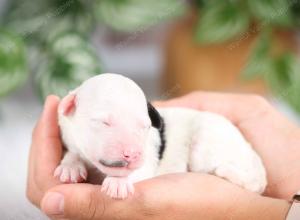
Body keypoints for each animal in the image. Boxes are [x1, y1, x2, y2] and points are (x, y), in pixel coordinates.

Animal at [54, 73, 268, 199]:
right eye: (104, 122)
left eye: (145, 126)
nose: (133, 154)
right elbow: (73, 152)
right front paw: (70, 166)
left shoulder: (147, 158)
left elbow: (138, 170)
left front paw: (119, 182)